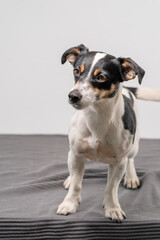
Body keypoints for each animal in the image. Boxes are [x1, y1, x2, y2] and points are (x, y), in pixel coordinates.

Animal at [57, 44, 160, 221]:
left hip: (134, 145)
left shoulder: (118, 162)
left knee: (131, 159)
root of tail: (126, 88)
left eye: (101, 77)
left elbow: (111, 187)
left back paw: (131, 177)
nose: (73, 96)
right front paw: (70, 204)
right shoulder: (76, 153)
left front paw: (112, 208)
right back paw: (70, 178)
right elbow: (77, 185)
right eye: (76, 71)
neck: (96, 118)